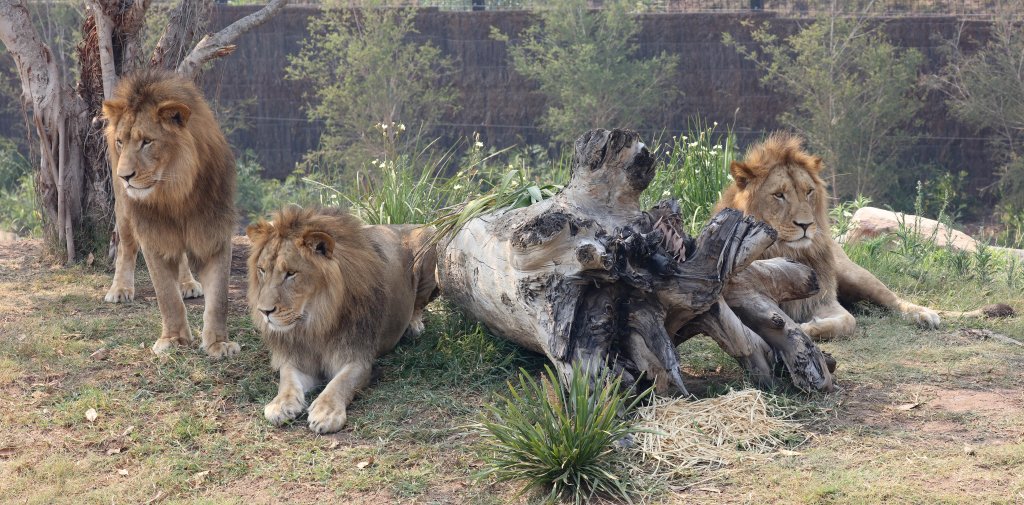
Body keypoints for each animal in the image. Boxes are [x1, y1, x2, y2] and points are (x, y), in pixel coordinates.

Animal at [101, 69, 239, 358]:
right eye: (121, 142)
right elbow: (167, 295)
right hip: (124, 212)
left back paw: (188, 284)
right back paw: (120, 288)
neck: (175, 193)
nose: (124, 176)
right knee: (125, 248)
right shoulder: (153, 235)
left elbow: (219, 298)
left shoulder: (215, 233)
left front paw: (218, 343)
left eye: (147, 142)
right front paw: (174, 339)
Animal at [246, 206, 439, 434]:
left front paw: (326, 412)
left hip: (430, 251)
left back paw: (414, 326)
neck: (315, 322)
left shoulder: (357, 359)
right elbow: (287, 380)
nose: (264, 311)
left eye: (291, 273)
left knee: (418, 305)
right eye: (262, 270)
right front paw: (280, 404)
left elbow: (340, 383)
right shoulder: (296, 358)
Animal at [714, 132, 1005, 340]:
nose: (806, 225)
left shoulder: (823, 299)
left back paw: (924, 315)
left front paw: (808, 329)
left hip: (855, 275)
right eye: (778, 195)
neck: (786, 252)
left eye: (808, 192)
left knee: (895, 301)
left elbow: (847, 322)